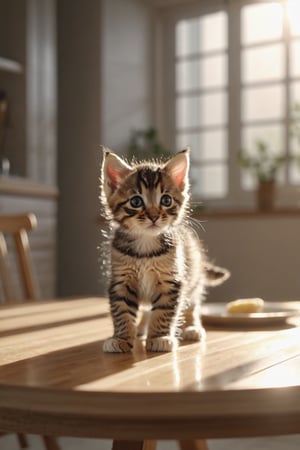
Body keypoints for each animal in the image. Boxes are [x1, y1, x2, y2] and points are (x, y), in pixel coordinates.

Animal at [99, 148, 229, 352]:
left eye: (166, 200)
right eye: (136, 202)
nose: (153, 216)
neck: (145, 247)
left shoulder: (172, 281)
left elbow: (164, 312)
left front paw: (160, 337)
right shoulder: (120, 281)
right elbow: (122, 311)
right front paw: (121, 337)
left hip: (193, 281)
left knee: (193, 306)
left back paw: (192, 328)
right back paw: (140, 329)